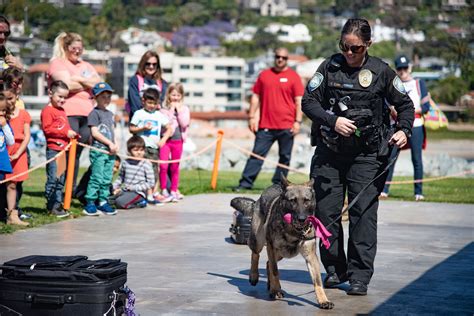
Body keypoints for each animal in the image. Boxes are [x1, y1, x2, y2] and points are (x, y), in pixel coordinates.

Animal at [230, 177, 334, 310]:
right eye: (292, 201)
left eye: (306, 201)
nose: (302, 219)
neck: (294, 232)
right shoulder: (270, 246)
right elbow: (275, 271)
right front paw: (276, 290)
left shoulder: (311, 257)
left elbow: (317, 281)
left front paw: (323, 300)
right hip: (259, 241)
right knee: (256, 255)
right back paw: (254, 276)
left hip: (281, 253)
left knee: (268, 263)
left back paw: (270, 285)